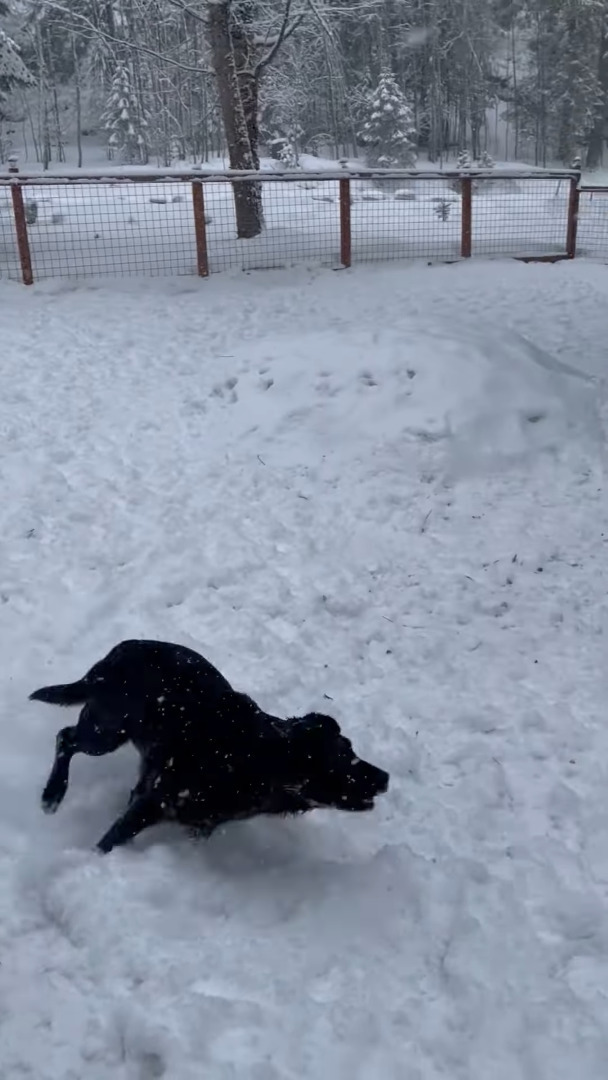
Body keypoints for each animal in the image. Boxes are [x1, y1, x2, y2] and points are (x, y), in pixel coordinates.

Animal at [29, 639, 390, 851]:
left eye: (352, 749)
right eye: (342, 759)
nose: (385, 777)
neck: (255, 759)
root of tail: (118, 651)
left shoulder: (191, 819)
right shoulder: (155, 803)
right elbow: (109, 841)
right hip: (105, 731)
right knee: (65, 737)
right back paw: (52, 795)